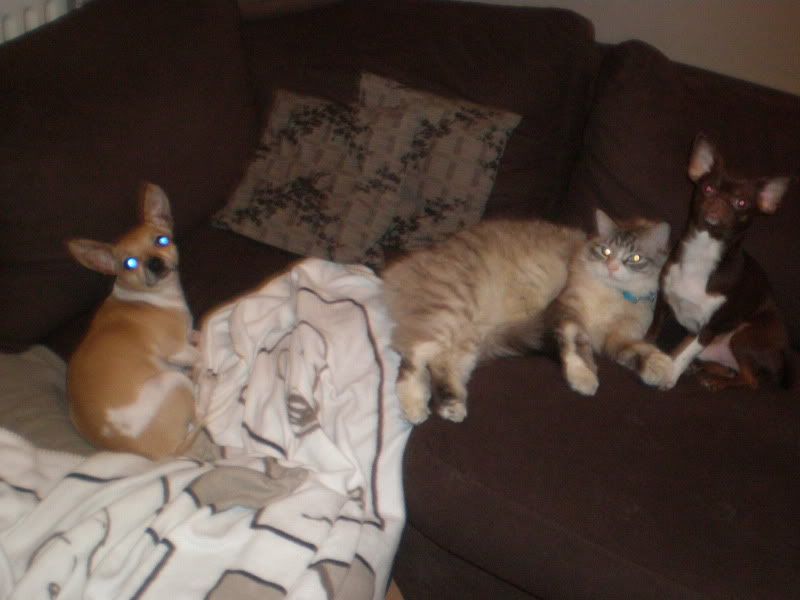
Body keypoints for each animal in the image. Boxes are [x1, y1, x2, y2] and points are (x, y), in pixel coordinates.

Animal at [66, 183, 200, 459]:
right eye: (129, 263)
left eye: (162, 241)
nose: (154, 263)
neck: (149, 296)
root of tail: (155, 455)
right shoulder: (176, 350)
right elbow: (200, 354)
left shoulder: (186, 337)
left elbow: (197, 333)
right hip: (172, 381)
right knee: (195, 407)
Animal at [381, 210, 673, 424]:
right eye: (606, 251)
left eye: (635, 258)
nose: (612, 267)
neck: (614, 295)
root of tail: (401, 267)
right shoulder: (565, 312)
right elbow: (575, 349)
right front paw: (584, 378)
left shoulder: (617, 336)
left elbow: (638, 350)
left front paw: (661, 369)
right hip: (451, 312)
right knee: (413, 358)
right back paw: (414, 407)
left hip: (468, 338)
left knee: (441, 366)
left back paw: (451, 407)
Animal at [645, 134, 793, 391]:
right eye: (708, 188)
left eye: (741, 203)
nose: (719, 201)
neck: (703, 252)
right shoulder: (664, 301)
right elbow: (656, 331)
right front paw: (645, 345)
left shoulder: (709, 329)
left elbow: (684, 354)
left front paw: (670, 376)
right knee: (730, 368)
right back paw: (706, 371)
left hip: (744, 336)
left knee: (752, 381)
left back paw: (714, 381)